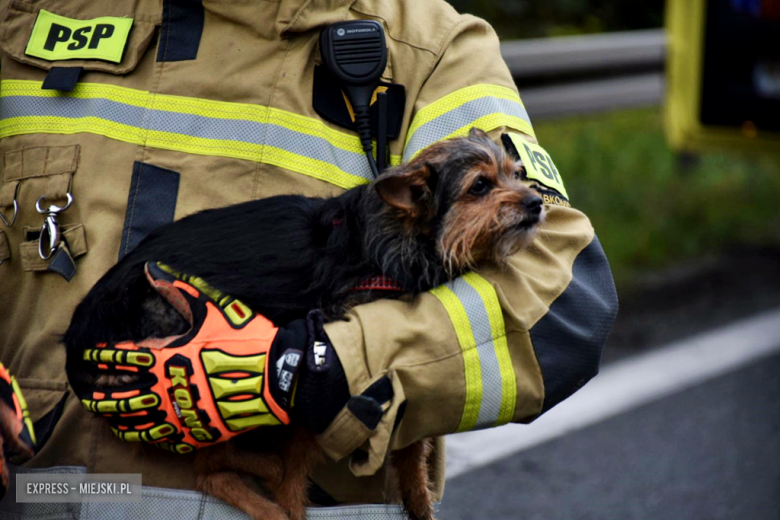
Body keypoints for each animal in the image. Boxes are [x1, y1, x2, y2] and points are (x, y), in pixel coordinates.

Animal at [64, 128, 544, 516]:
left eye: (515, 173)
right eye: (480, 185)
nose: (538, 202)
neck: (396, 240)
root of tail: (76, 345)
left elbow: (413, 450)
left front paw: (419, 505)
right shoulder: (316, 390)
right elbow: (297, 482)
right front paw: (291, 505)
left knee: (214, 468)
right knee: (215, 470)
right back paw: (269, 495)